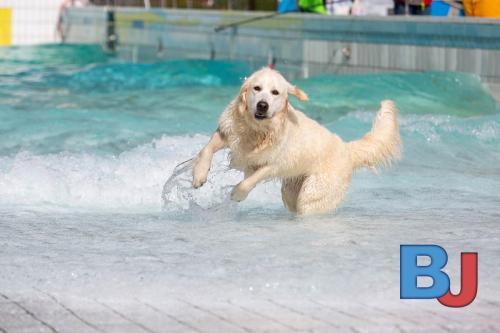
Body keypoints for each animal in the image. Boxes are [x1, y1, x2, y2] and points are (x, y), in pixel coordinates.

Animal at [190, 67, 398, 215]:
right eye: (257, 88)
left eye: (275, 92)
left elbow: (249, 181)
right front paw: (199, 175)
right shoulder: (229, 132)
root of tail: (346, 149)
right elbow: (206, 149)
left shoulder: (274, 163)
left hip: (313, 193)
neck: (258, 130)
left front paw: (237, 194)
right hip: (291, 189)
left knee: (308, 206)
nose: (262, 105)